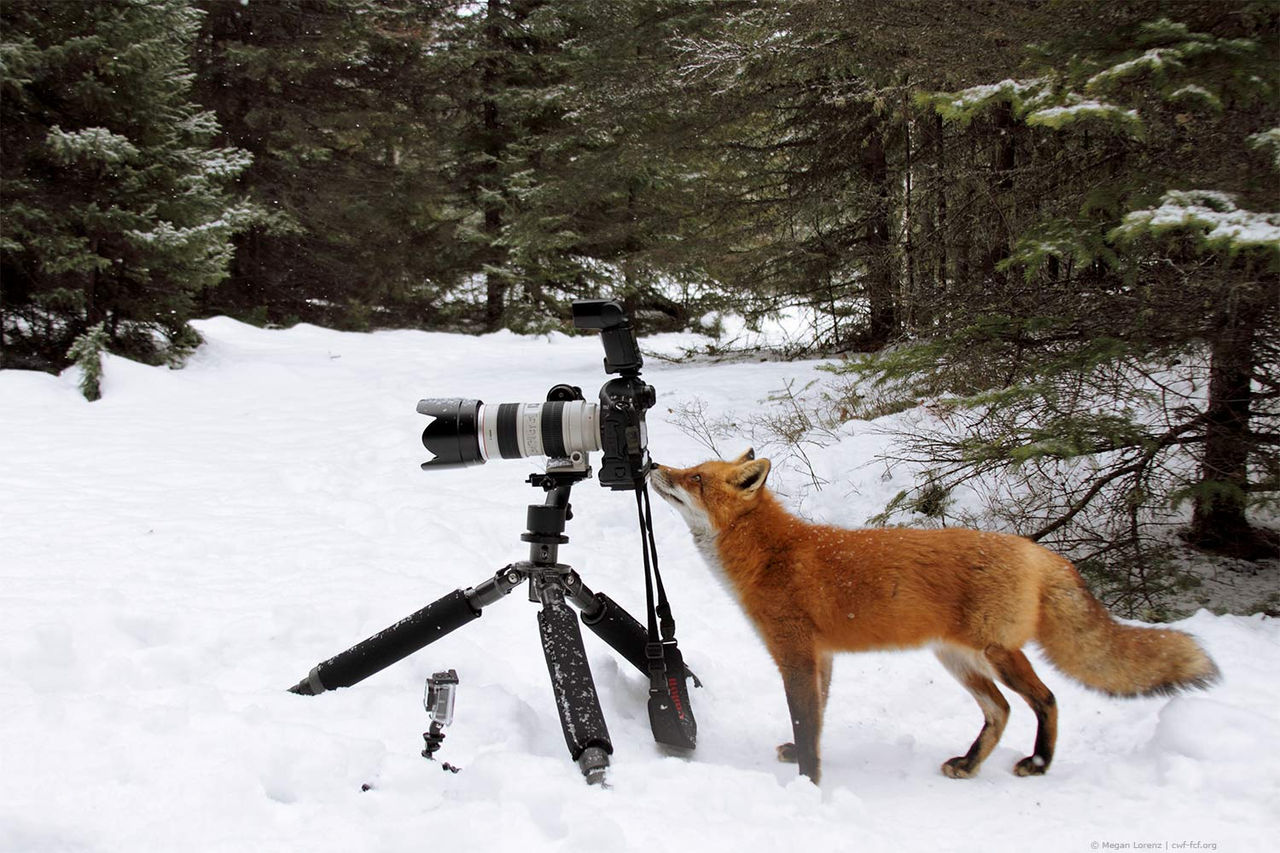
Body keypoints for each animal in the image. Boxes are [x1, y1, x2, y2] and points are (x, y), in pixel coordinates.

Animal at [649, 450, 1219, 784]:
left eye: (695, 478)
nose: (654, 466)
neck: (771, 554)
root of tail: (1039, 551)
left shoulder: (794, 654)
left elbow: (807, 720)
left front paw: (809, 783)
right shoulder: (821, 657)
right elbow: (817, 718)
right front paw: (804, 760)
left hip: (997, 654)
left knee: (1046, 700)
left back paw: (1038, 762)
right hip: (959, 661)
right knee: (1000, 712)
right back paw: (969, 763)